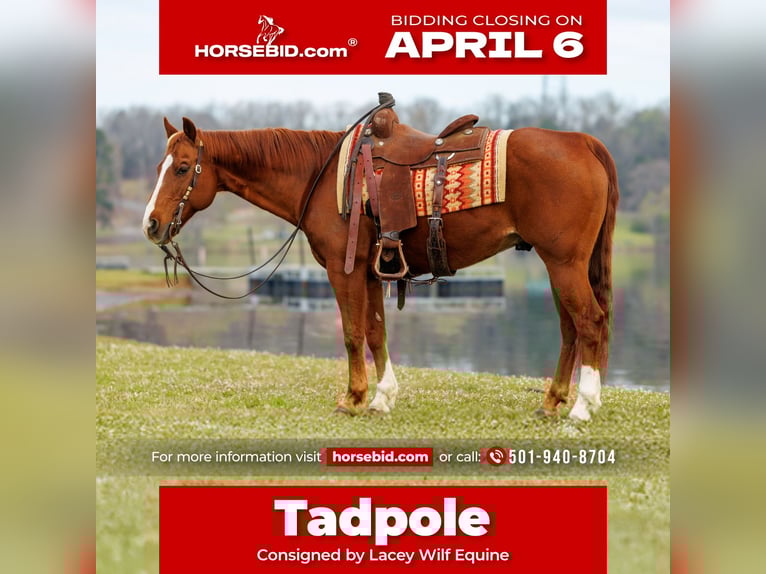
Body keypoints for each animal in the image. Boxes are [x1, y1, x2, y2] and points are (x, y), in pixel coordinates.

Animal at [142, 112, 618, 422]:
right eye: (160, 165)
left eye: (182, 168)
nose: (151, 224)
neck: (322, 175)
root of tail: (583, 142)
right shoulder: (372, 272)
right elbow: (376, 332)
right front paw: (382, 397)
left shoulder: (344, 269)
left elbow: (353, 334)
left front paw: (352, 398)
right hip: (559, 265)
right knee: (571, 328)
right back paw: (553, 400)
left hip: (564, 263)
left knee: (590, 321)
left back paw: (582, 406)